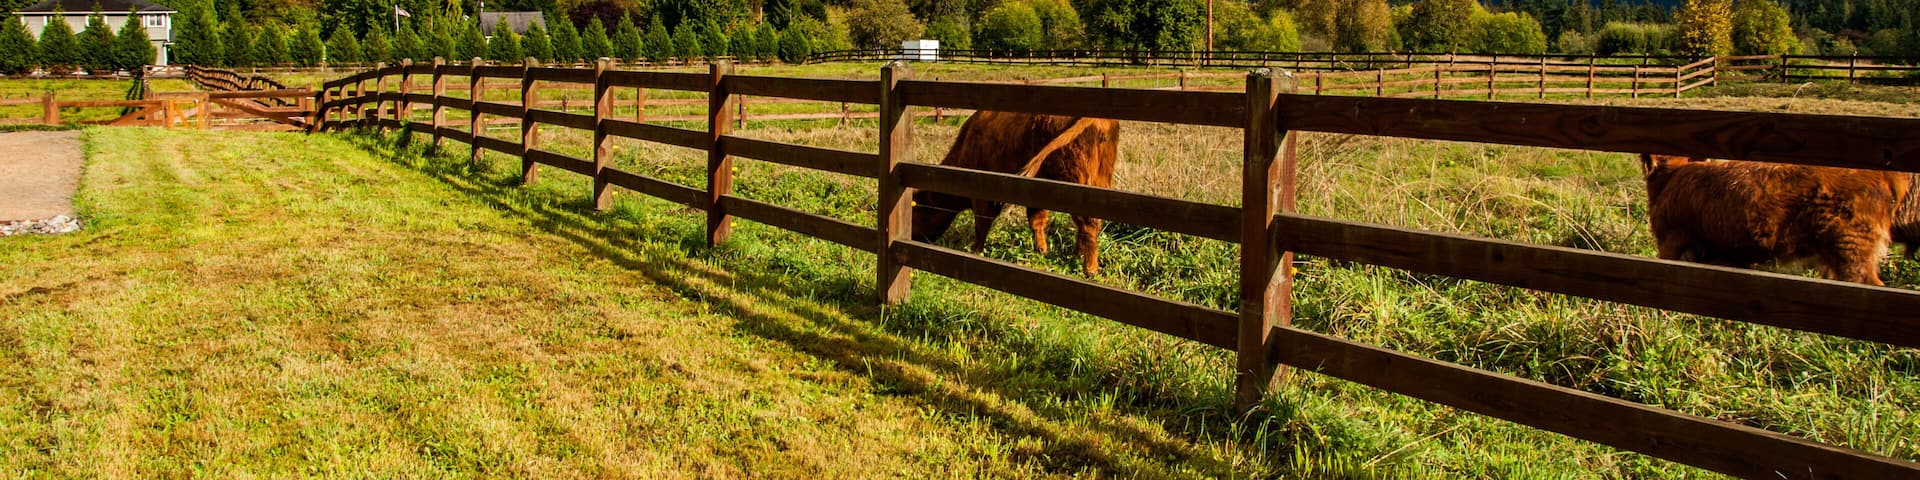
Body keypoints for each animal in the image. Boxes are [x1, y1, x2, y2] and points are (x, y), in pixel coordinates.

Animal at [911, 111, 1121, 275]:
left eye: (915, 212)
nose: (913, 236)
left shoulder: (982, 195)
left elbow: (982, 223)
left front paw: (975, 250)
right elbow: (1036, 221)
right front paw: (1041, 250)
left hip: (1076, 182)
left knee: (1088, 223)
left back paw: (1089, 269)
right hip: (1100, 180)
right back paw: (1077, 257)